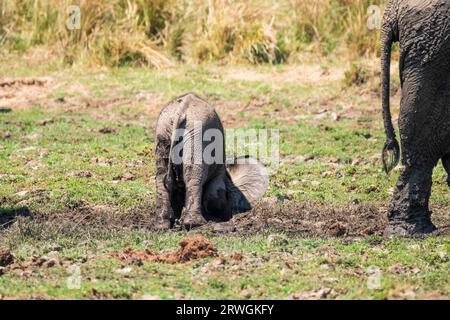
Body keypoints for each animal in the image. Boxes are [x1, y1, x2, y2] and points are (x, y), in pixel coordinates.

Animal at [155, 92, 268, 230]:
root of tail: (181, 110)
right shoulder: (218, 174)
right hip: (198, 136)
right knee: (194, 175)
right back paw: (195, 223)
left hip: (164, 132)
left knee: (162, 174)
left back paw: (162, 225)